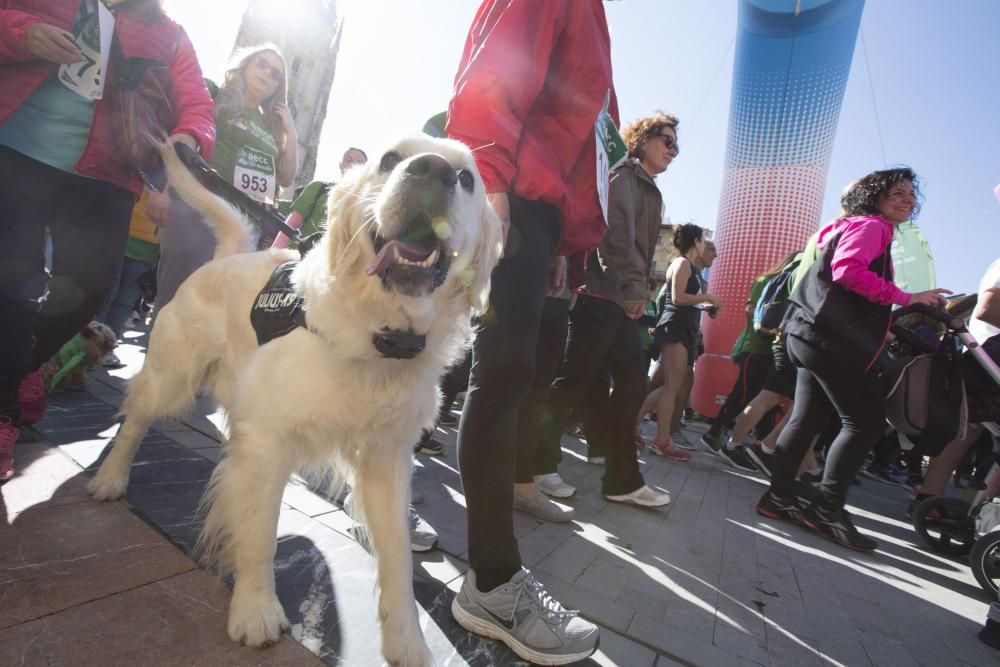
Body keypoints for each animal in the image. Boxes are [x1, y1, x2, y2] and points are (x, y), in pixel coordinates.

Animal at [90, 133, 504, 664]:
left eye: (468, 178)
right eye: (390, 159)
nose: (433, 170)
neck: (379, 335)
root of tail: (229, 256)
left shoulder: (386, 461)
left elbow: (396, 559)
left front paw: (407, 640)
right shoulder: (270, 443)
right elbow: (259, 534)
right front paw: (255, 609)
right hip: (171, 376)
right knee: (135, 420)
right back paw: (110, 478)